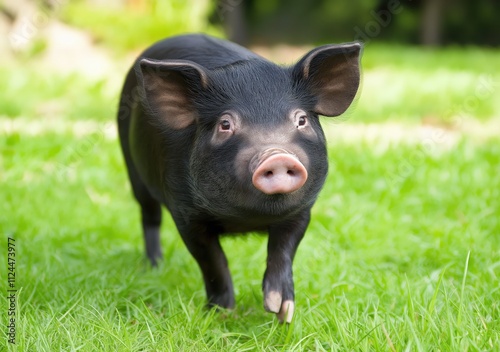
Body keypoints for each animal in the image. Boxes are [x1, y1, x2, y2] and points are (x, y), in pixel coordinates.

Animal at [116, 34, 360, 324]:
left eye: (301, 119)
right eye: (225, 124)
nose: (276, 155)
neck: (246, 220)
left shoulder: (302, 210)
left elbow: (283, 250)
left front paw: (282, 312)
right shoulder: (185, 214)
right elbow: (213, 260)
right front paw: (221, 313)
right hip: (133, 169)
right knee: (149, 217)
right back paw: (154, 267)